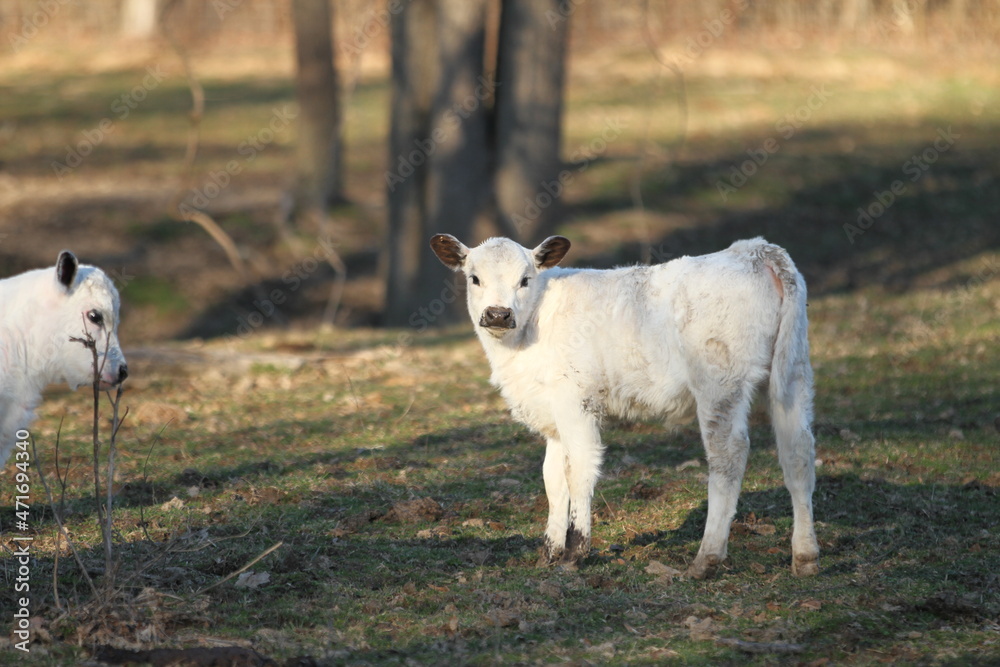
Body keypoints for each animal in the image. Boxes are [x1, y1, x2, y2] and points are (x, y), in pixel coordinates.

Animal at [430, 234, 819, 579]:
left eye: (525, 279)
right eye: (474, 278)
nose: (498, 314)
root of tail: (751, 249)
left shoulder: (576, 402)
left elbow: (577, 471)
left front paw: (575, 553)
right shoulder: (553, 414)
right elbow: (552, 478)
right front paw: (549, 553)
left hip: (719, 381)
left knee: (728, 456)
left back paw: (706, 559)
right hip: (793, 370)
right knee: (797, 451)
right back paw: (805, 556)